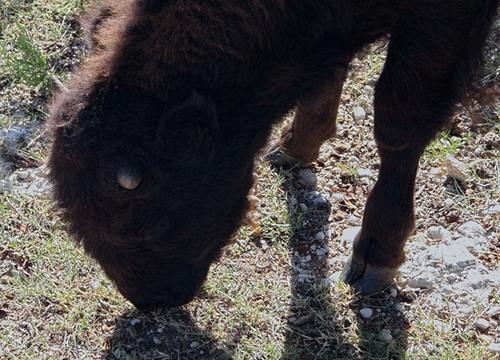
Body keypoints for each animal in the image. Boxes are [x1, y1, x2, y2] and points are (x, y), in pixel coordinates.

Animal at [48, 0, 498, 310]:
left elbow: (398, 123)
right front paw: (293, 149)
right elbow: (326, 76)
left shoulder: (439, 20)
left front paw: (374, 262)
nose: (152, 300)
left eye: (153, 224)